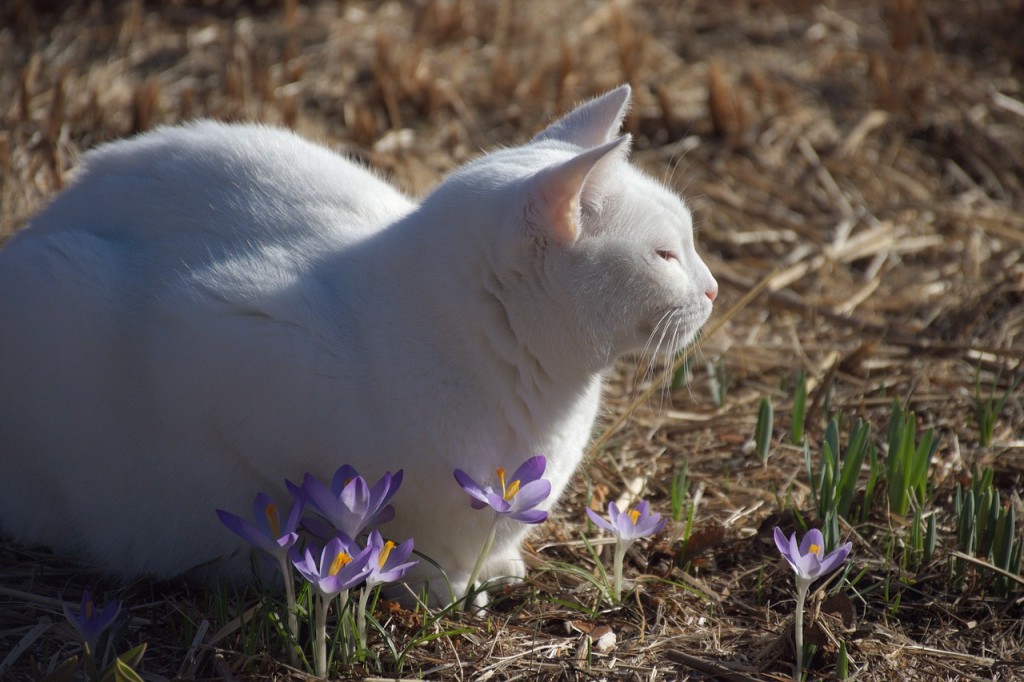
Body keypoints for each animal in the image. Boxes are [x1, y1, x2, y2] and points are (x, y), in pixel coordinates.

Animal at [0, 86, 716, 602]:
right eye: (665, 255)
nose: (711, 288)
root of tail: (53, 209)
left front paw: (494, 568)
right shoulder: (219, 339)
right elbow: (313, 513)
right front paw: (419, 582)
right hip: (57, 288)